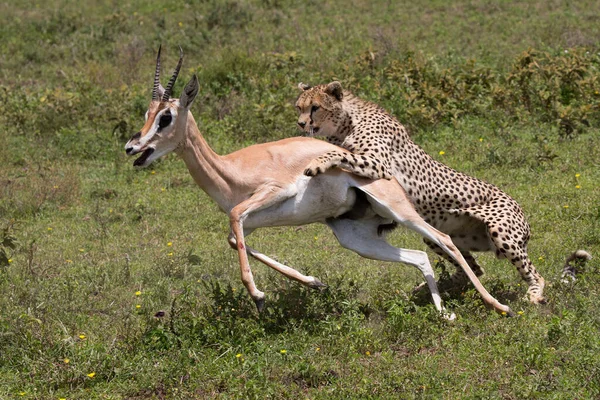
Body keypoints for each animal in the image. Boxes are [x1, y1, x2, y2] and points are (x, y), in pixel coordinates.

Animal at [296, 82, 564, 306]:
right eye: (299, 107)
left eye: (315, 107)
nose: (300, 124)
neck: (347, 121)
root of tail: (520, 209)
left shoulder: (378, 165)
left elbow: (339, 154)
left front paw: (316, 163)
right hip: (439, 237)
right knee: (473, 269)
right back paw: (428, 288)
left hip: (502, 233)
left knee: (535, 274)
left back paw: (534, 295)